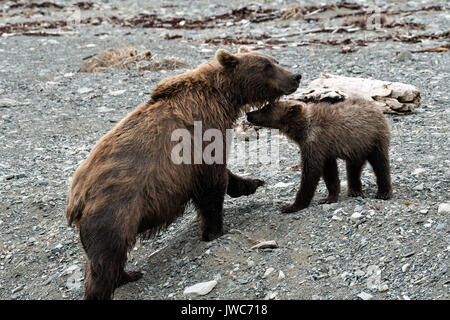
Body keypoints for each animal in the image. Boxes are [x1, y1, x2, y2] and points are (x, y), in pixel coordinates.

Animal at [65, 48, 300, 298]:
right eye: (266, 66)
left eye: (275, 61)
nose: (295, 76)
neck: (224, 97)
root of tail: (75, 199)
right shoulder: (202, 135)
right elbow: (211, 186)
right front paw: (215, 230)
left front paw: (251, 182)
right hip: (114, 211)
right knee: (104, 261)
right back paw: (111, 283)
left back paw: (129, 274)